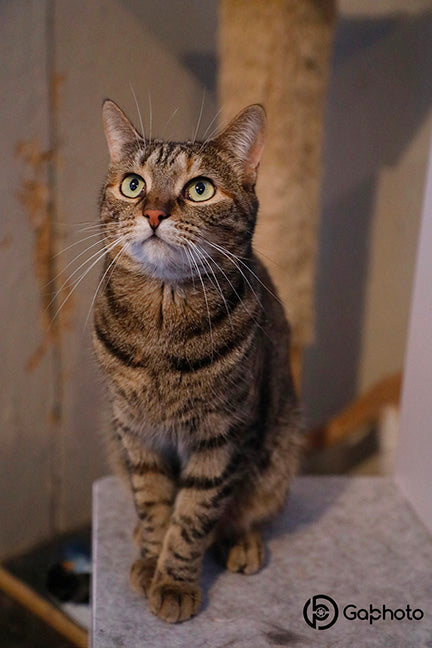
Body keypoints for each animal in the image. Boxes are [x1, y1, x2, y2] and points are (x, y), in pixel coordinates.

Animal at [93, 100, 302, 624]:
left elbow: (192, 516)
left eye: (200, 189)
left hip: (280, 451)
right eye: (133, 184)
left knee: (242, 513)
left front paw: (173, 581)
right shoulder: (136, 433)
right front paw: (151, 560)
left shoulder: (220, 436)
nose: (152, 211)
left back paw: (241, 542)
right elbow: (153, 502)